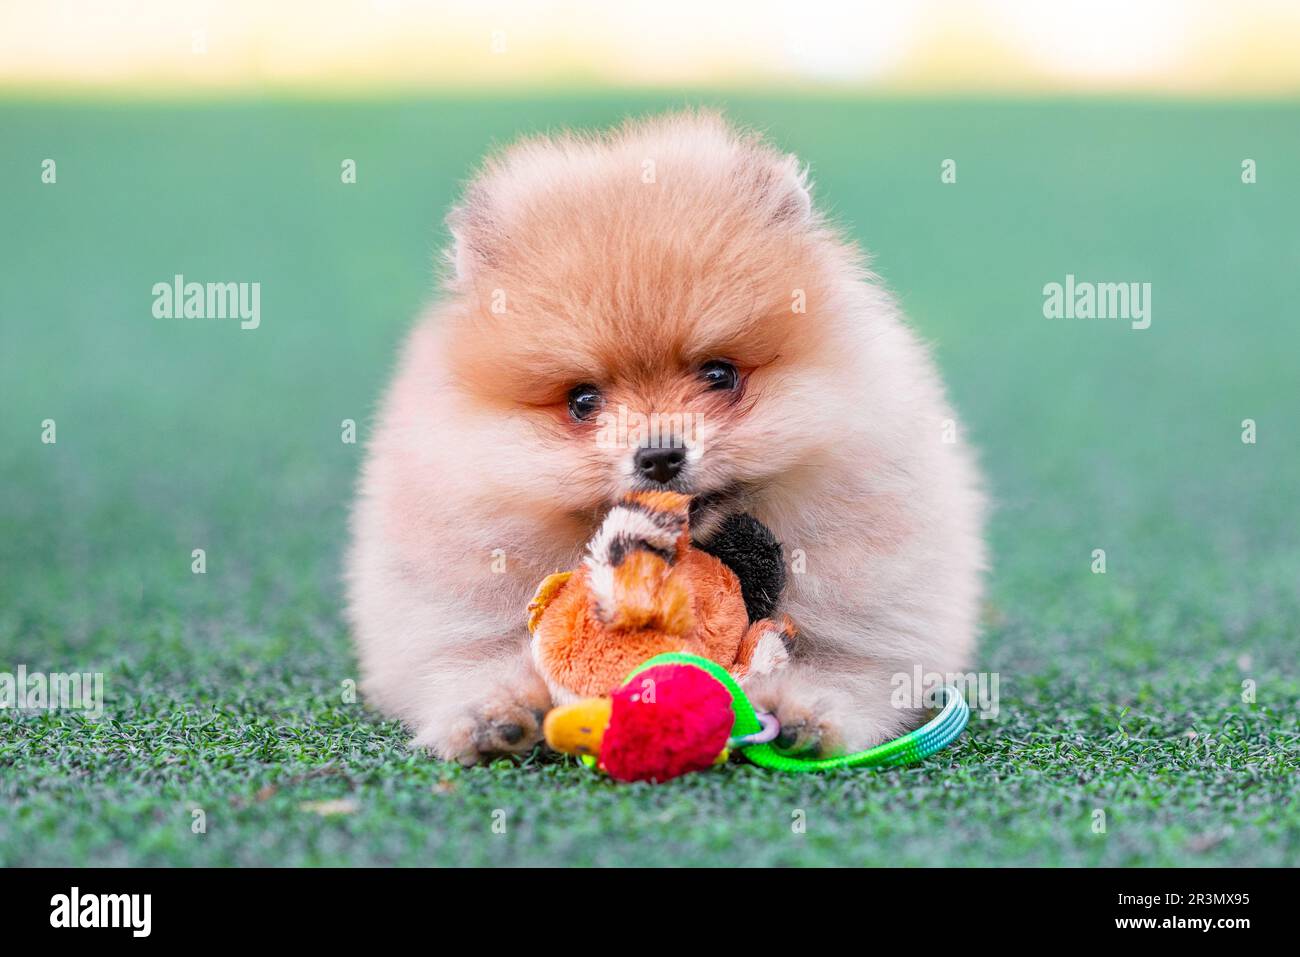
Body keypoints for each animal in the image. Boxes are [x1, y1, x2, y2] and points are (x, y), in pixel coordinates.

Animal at [345, 110, 982, 764]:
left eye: (720, 374)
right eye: (582, 401)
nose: (658, 454)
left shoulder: (873, 611)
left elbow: (845, 667)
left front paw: (803, 711)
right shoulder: (447, 604)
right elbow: (470, 659)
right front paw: (491, 713)